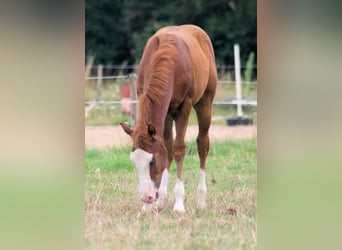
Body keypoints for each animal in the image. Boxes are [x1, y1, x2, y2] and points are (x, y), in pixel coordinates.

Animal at [120, 24, 216, 213]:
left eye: (152, 161)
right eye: (134, 161)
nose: (147, 197)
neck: (168, 60)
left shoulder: (184, 106)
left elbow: (179, 149)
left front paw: (179, 204)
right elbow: (166, 148)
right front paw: (149, 206)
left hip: (205, 103)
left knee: (202, 144)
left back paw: (201, 200)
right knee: (169, 146)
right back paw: (162, 199)